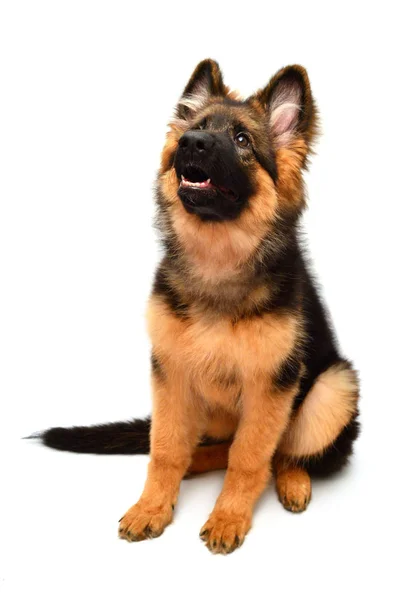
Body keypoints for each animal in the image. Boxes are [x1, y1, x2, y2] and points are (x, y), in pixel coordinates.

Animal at [36, 59, 360, 552]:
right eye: (197, 128)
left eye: (243, 140)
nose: (190, 142)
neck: (218, 260)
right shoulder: (171, 373)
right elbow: (166, 449)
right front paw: (152, 506)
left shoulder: (271, 385)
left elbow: (251, 456)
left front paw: (228, 516)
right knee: (216, 447)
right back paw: (196, 462)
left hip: (333, 388)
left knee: (284, 452)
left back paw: (292, 481)